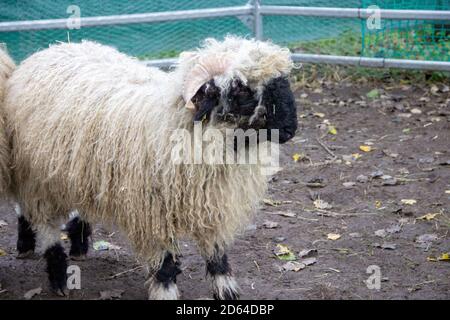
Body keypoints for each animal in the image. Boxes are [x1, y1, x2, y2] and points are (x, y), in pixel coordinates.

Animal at [0, 37, 298, 300]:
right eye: (242, 88)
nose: (289, 129)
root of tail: (53, 48)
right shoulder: (152, 212)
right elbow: (164, 264)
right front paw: (166, 291)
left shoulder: (211, 202)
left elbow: (217, 254)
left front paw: (226, 290)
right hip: (35, 176)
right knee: (42, 221)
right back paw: (52, 268)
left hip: (73, 168)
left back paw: (78, 244)